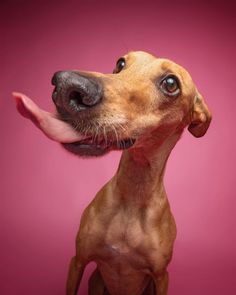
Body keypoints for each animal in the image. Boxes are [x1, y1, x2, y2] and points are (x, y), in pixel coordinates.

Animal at [13, 51, 212, 295]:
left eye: (171, 83)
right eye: (120, 63)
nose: (66, 84)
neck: (133, 194)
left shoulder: (161, 276)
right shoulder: (78, 261)